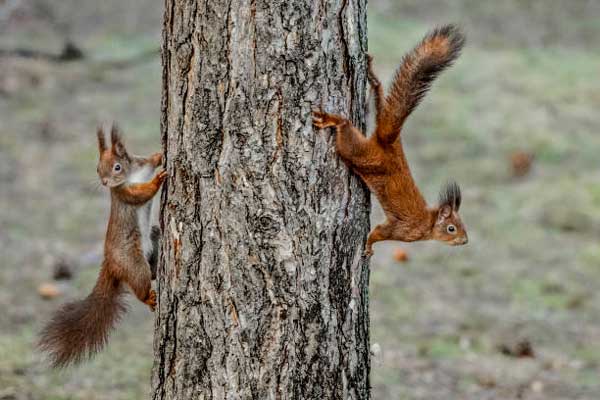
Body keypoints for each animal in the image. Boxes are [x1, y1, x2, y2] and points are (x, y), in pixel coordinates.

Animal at [39, 126, 166, 368]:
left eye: (117, 166)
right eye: (97, 168)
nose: (106, 182)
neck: (131, 174)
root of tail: (110, 263)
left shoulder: (140, 164)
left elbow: (149, 161)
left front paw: (159, 156)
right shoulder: (124, 193)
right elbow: (141, 194)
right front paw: (157, 181)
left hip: (151, 243)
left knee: (154, 270)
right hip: (134, 263)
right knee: (141, 282)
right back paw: (149, 298)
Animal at [314, 25, 468, 256]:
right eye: (452, 228)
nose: (465, 241)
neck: (428, 223)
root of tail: (387, 142)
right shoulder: (403, 229)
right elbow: (378, 232)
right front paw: (369, 247)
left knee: (379, 94)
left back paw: (372, 75)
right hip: (362, 155)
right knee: (346, 130)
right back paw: (331, 120)